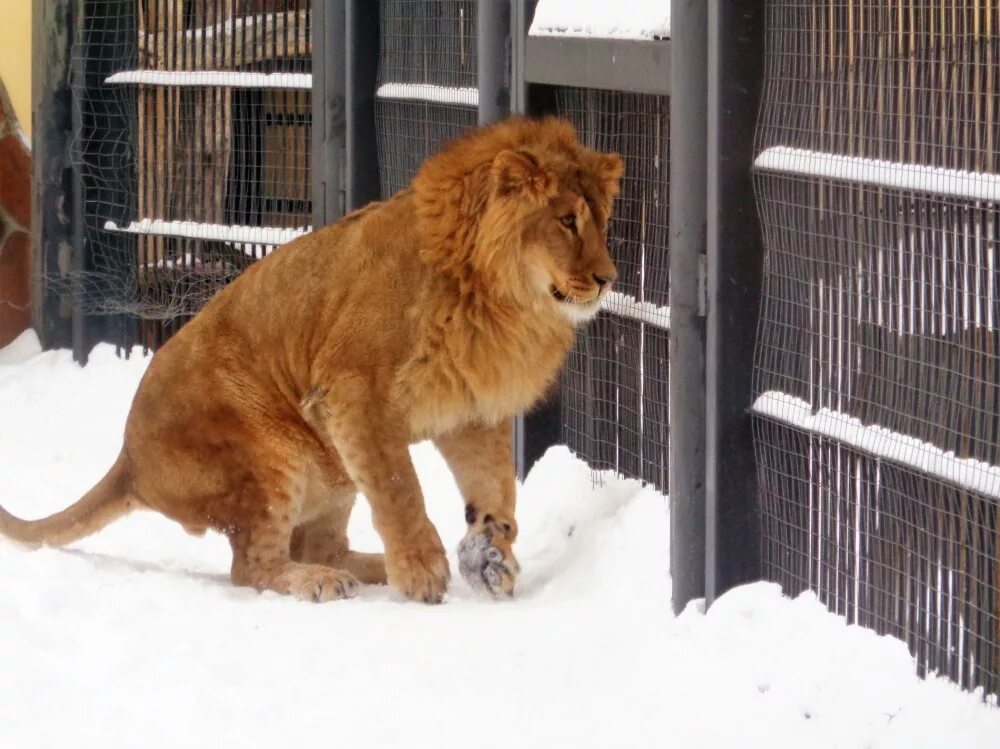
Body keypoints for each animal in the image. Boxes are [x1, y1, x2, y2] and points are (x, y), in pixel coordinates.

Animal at [0, 117, 620, 600]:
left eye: (601, 221)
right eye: (567, 221)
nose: (608, 279)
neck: (497, 298)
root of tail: (128, 459)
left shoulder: (467, 409)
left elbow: (495, 489)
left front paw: (490, 555)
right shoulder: (354, 391)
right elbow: (399, 485)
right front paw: (422, 569)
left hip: (333, 464)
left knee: (320, 545)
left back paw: (365, 567)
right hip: (273, 454)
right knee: (253, 567)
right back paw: (322, 581)